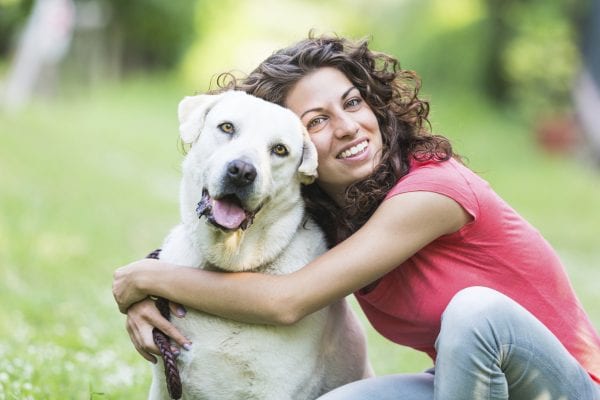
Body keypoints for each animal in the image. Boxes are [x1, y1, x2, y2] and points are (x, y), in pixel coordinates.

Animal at [149, 91, 370, 400]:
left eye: (279, 149)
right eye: (227, 127)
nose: (241, 171)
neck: (228, 267)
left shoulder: (274, 389)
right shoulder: (163, 384)